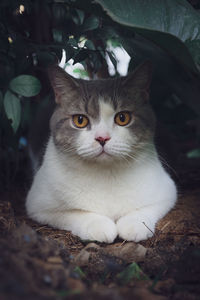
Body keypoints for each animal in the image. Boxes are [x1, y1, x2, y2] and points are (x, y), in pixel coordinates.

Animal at [26, 62, 177, 243]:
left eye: (123, 118)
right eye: (80, 120)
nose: (102, 138)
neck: (106, 174)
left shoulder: (167, 191)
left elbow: (145, 207)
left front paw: (134, 225)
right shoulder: (38, 205)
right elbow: (73, 213)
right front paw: (98, 226)